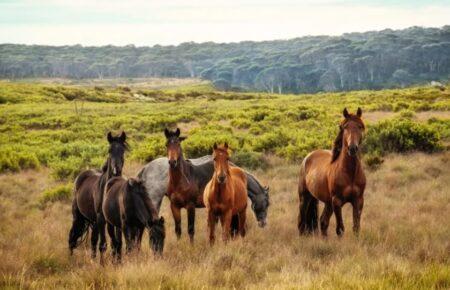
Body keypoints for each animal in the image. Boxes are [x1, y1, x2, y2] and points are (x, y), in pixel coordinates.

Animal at [68, 130, 128, 258]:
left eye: (123, 150)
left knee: (93, 241)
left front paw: (117, 261)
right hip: (78, 217)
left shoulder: (115, 220)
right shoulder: (101, 219)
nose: (116, 170)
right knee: (72, 237)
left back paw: (93, 259)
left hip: (93, 221)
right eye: (109, 150)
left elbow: (117, 244)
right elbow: (104, 244)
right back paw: (70, 258)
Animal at [298, 107, 366, 237]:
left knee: (323, 222)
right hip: (305, 197)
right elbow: (340, 229)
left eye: (360, 126)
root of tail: (307, 157)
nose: (352, 148)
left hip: (327, 202)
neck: (350, 173)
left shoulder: (358, 201)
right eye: (345, 127)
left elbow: (356, 228)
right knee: (301, 223)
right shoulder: (337, 202)